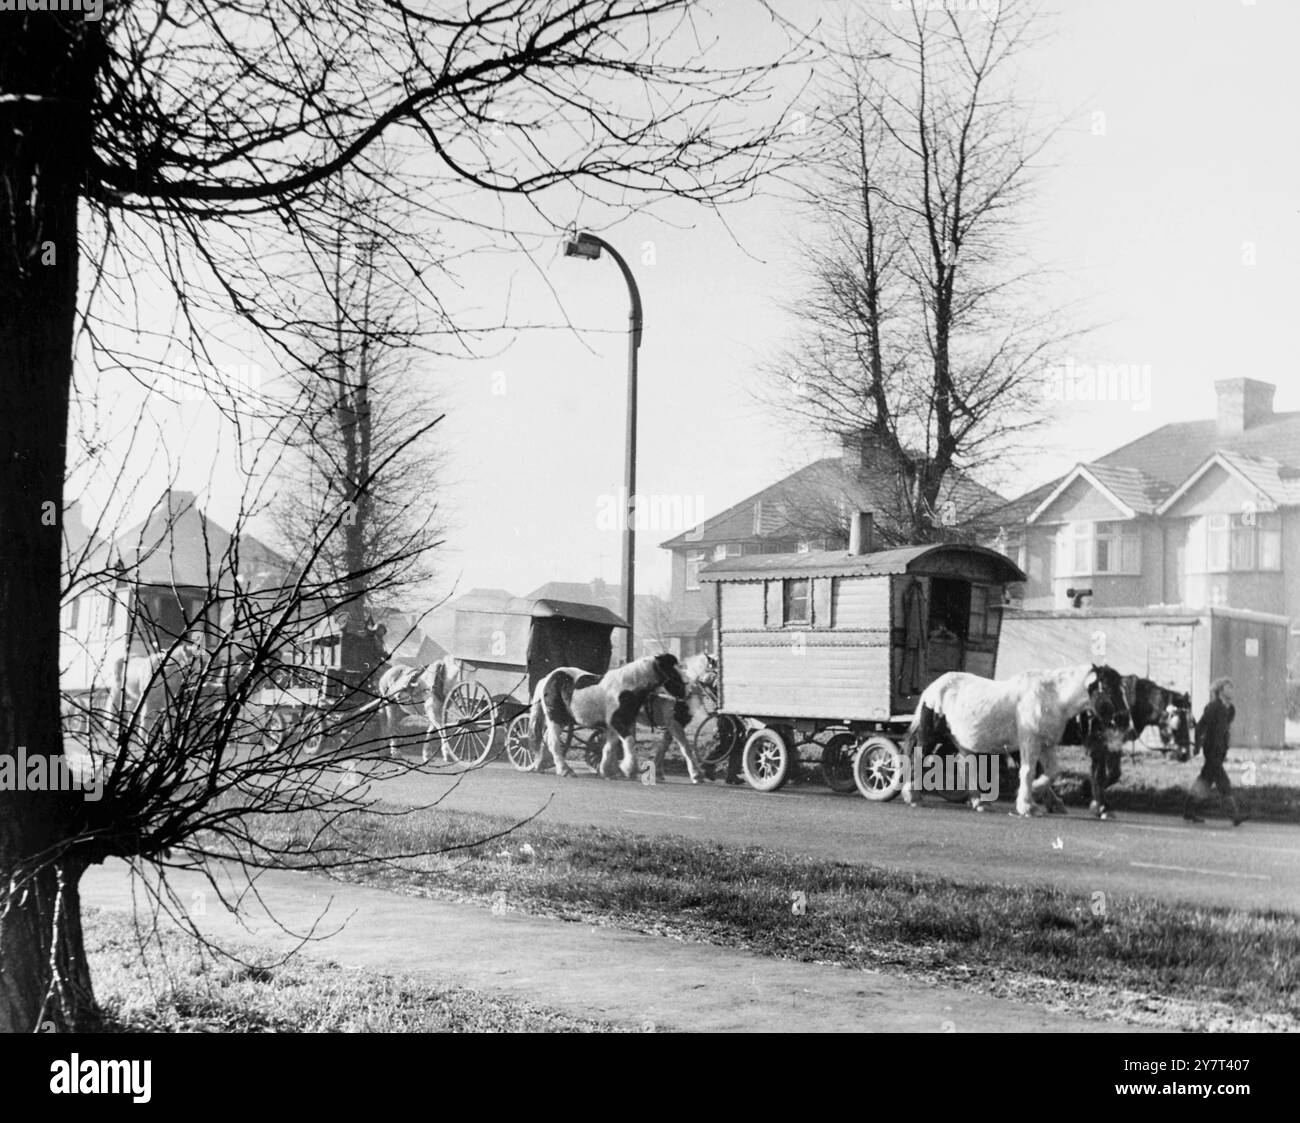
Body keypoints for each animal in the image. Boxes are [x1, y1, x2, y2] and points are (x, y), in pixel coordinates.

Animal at [527, 652, 691, 774]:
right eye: (673, 672)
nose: (684, 692)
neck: (627, 689)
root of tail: (548, 678)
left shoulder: (615, 725)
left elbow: (609, 745)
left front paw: (608, 770)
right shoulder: (618, 722)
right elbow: (629, 741)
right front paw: (629, 769)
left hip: (563, 720)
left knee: (546, 739)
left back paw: (540, 765)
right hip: (556, 718)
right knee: (553, 742)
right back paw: (564, 770)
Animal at [650, 652, 722, 785]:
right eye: (716, 675)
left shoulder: (674, 724)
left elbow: (664, 746)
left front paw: (657, 772)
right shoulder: (674, 723)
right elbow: (685, 748)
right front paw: (696, 775)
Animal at [899, 665, 1133, 816]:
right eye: (1107, 688)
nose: (1124, 719)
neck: (1052, 698)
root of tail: (931, 689)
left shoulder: (1046, 744)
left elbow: (1051, 772)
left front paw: (1037, 795)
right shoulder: (1029, 742)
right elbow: (1028, 772)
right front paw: (1026, 805)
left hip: (961, 742)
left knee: (966, 767)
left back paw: (978, 801)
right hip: (930, 736)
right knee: (918, 758)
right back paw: (912, 796)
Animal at [1060, 670, 1190, 821]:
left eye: (1191, 721)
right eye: (1177, 722)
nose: (1185, 753)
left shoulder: (1113, 744)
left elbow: (1114, 774)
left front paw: (1088, 793)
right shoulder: (1099, 745)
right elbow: (1099, 775)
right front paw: (1101, 807)